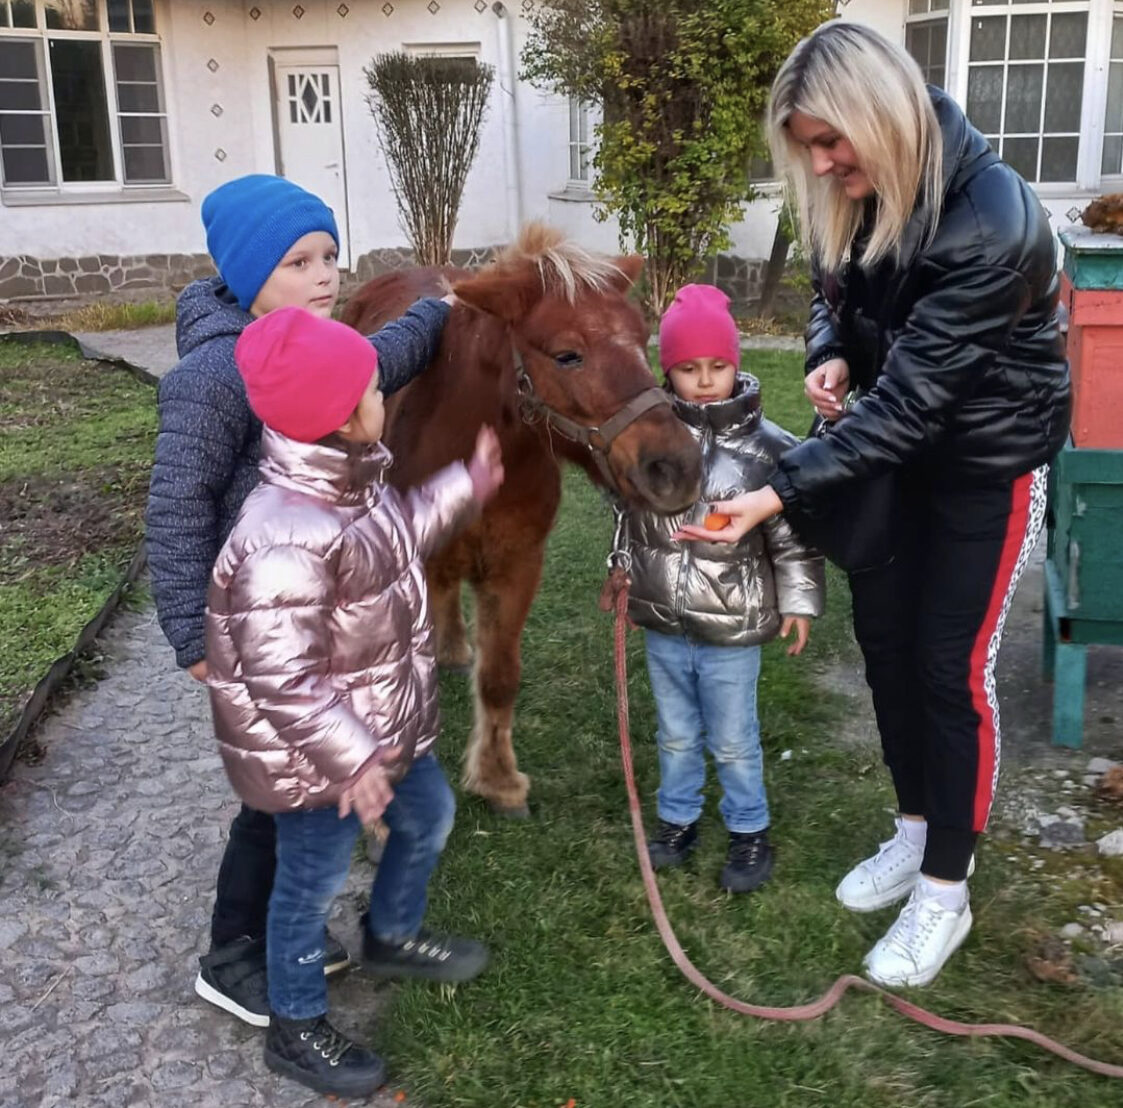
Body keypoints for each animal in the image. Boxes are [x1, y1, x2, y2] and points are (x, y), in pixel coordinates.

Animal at [341, 223, 696, 812]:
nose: (677, 469)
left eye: (642, 338)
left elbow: (500, 675)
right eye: (568, 355)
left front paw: (498, 779)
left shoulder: (518, 565)